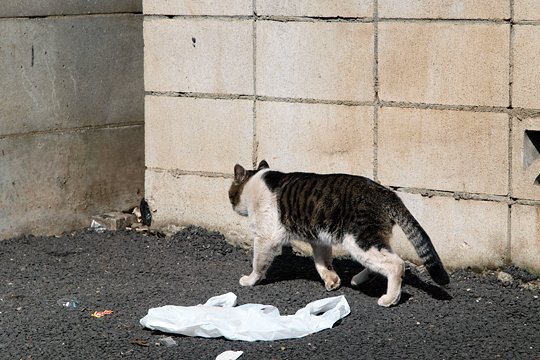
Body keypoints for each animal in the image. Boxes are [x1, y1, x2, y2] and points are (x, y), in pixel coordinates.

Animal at [229, 160, 452, 306]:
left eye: (230, 194)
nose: (232, 205)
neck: (256, 183)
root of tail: (388, 193)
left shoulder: (264, 238)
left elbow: (258, 263)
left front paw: (250, 280)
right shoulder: (319, 239)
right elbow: (322, 263)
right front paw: (332, 280)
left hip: (359, 240)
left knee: (397, 264)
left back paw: (390, 299)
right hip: (369, 241)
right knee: (383, 261)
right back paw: (359, 280)